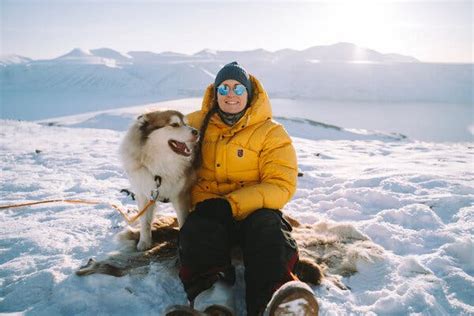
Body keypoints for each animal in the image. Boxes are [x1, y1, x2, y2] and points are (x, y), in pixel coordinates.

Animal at [120, 110, 200, 251]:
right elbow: (145, 222)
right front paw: (144, 242)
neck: (160, 167)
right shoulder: (145, 194)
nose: (196, 132)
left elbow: (183, 220)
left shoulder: (180, 195)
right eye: (174, 124)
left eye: (186, 123)